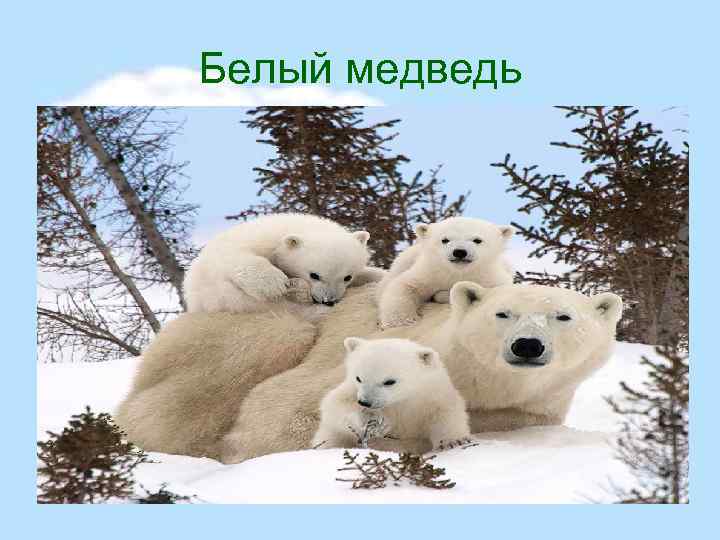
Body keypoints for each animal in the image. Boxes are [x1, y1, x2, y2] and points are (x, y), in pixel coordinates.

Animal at [183, 213, 385, 318]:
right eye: (314, 275)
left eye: (347, 277)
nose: (328, 300)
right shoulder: (253, 240)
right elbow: (234, 254)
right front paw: (275, 283)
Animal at [312, 337, 471, 451]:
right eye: (358, 378)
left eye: (389, 381)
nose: (365, 402)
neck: (400, 401)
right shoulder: (351, 389)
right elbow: (334, 405)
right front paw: (370, 421)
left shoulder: (431, 395)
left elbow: (446, 411)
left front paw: (453, 441)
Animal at [377, 217, 514, 328]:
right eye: (445, 240)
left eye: (477, 240)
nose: (459, 252)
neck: (457, 272)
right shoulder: (430, 272)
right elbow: (405, 285)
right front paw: (402, 321)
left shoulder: (489, 277)